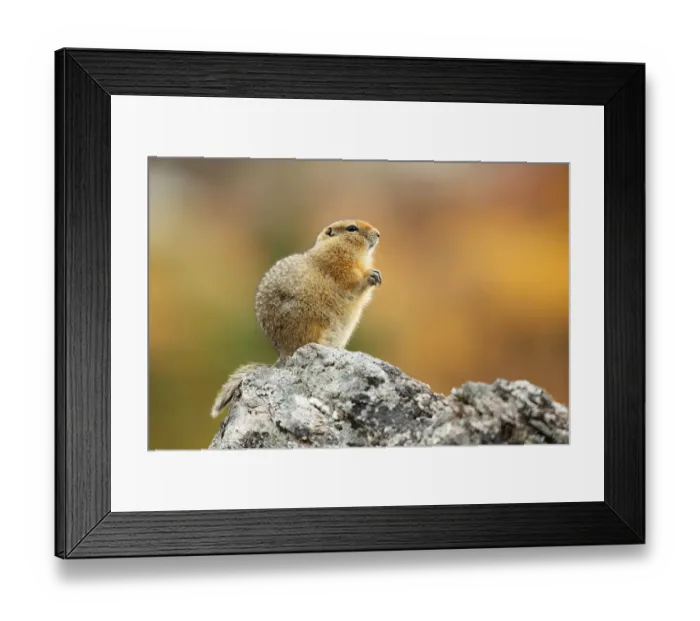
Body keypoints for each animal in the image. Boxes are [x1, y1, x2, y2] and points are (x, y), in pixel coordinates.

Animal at [210, 219, 382, 418]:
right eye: (352, 228)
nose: (378, 234)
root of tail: (283, 357)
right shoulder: (339, 267)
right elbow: (352, 282)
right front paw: (371, 275)